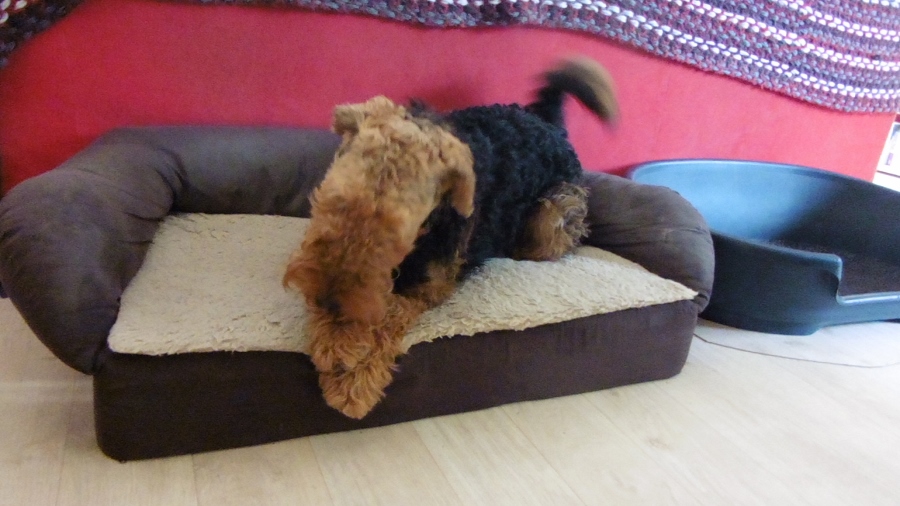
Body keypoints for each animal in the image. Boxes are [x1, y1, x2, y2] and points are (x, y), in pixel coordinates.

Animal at [284, 56, 618, 419]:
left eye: (397, 232)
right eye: (336, 202)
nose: (329, 303)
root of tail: (546, 121)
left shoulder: (427, 288)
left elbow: (388, 314)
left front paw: (351, 376)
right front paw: (333, 343)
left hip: (551, 219)